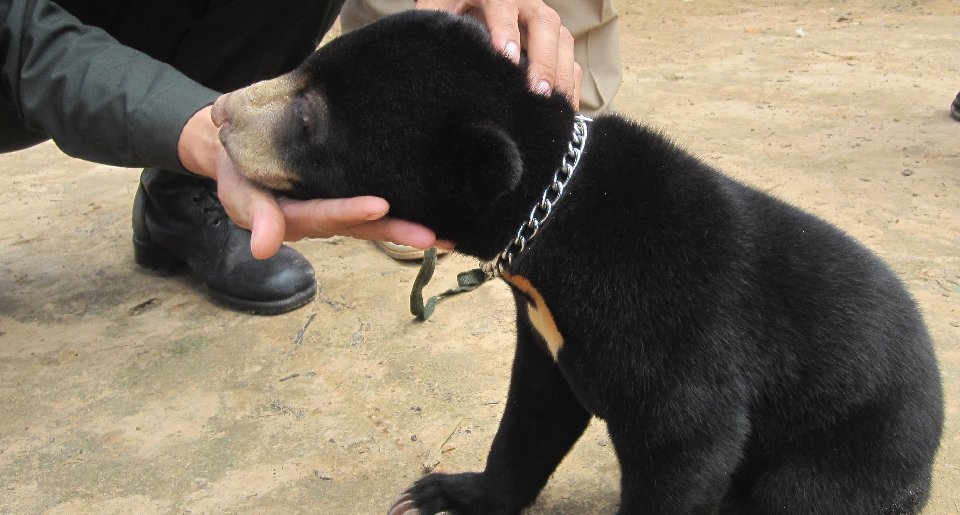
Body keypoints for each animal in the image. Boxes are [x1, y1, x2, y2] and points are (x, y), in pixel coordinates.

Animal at [210, 11, 944, 514]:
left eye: (310, 119)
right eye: (311, 62)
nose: (216, 113)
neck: (550, 218)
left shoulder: (671, 328)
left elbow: (688, 440)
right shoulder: (550, 334)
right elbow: (531, 417)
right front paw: (444, 491)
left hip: (855, 449)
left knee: (801, 495)